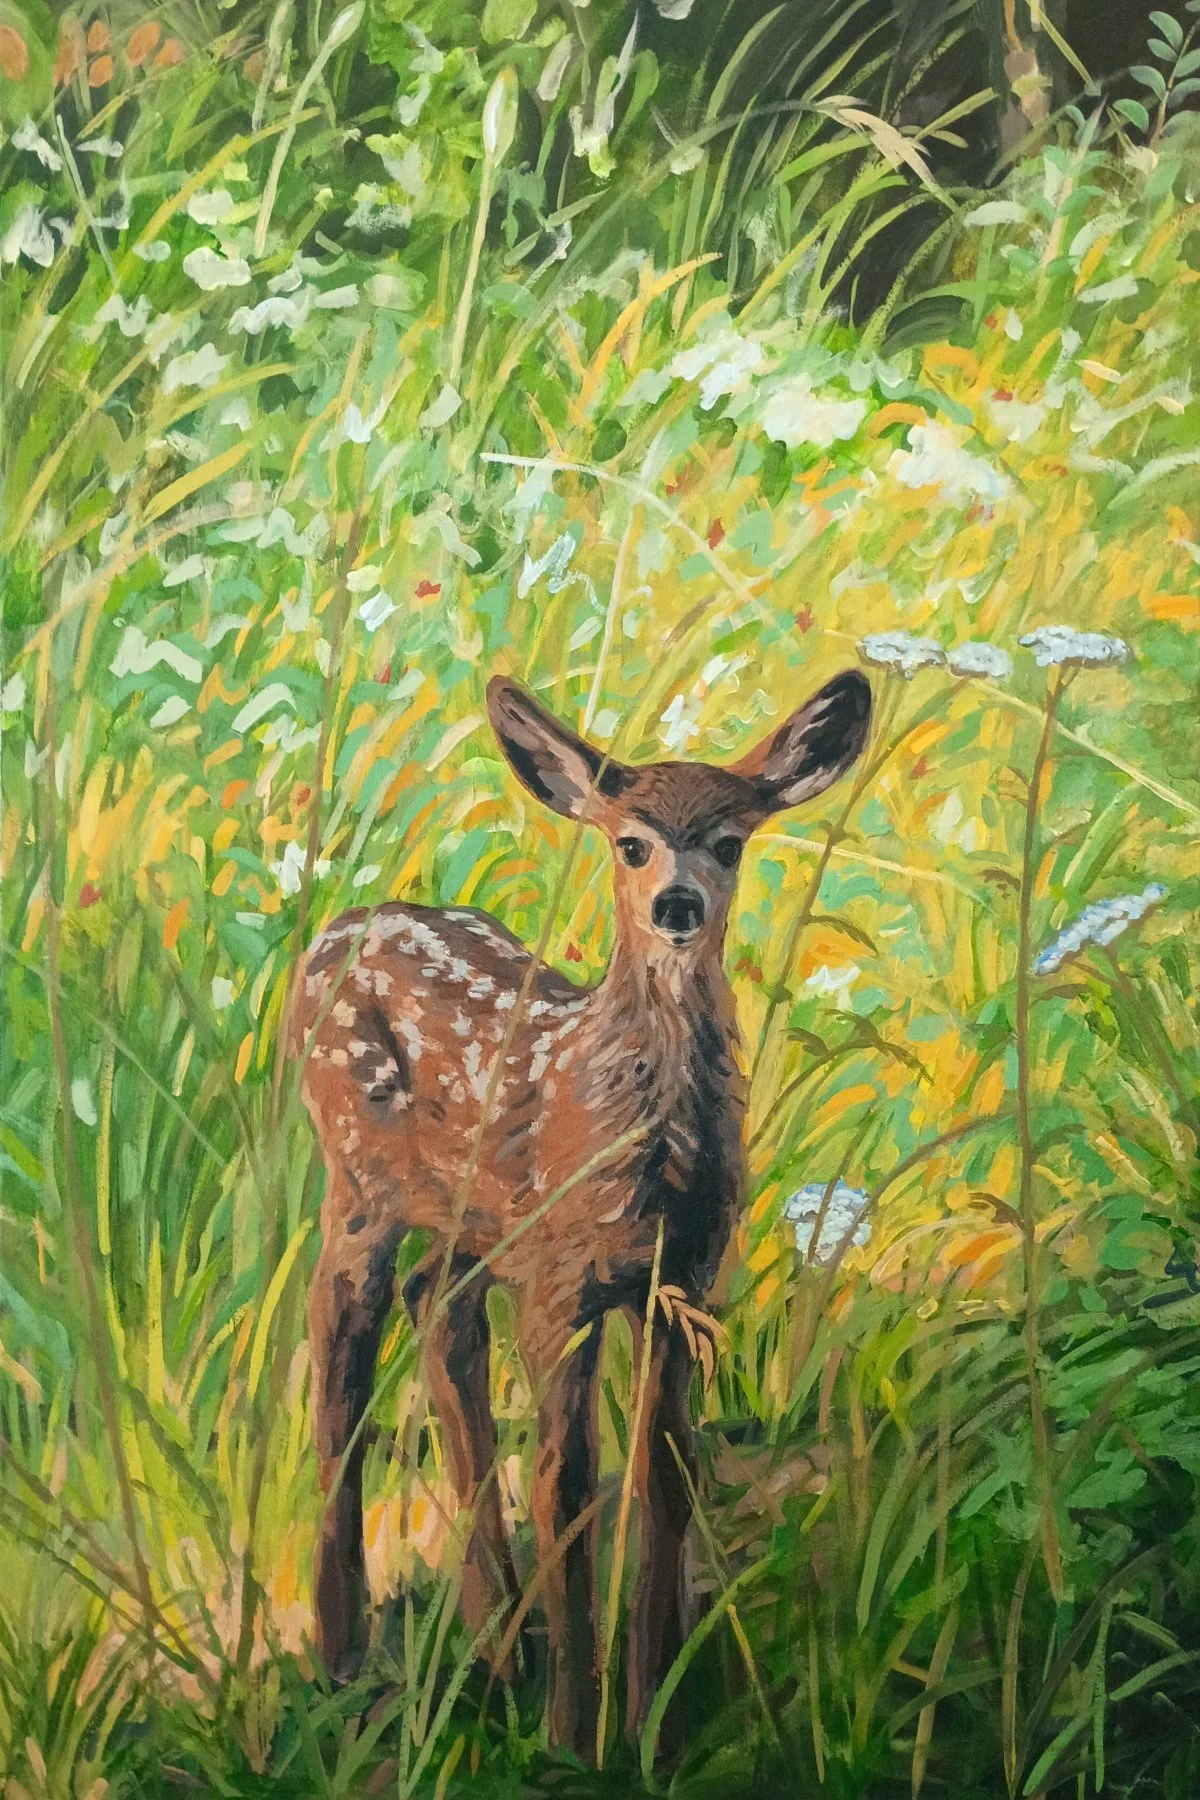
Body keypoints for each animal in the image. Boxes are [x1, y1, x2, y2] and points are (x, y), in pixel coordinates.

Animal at [290, 665, 871, 1759]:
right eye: (630, 842)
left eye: (730, 841)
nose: (678, 904)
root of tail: (338, 929)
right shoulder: (563, 1284)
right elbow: (566, 1486)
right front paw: (576, 1736)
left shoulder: (680, 1283)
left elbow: (666, 1475)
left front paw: (655, 1723)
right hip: (358, 1180)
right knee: (340, 1343)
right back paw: (345, 1661)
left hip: (474, 1224)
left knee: (438, 1312)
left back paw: (497, 1652)